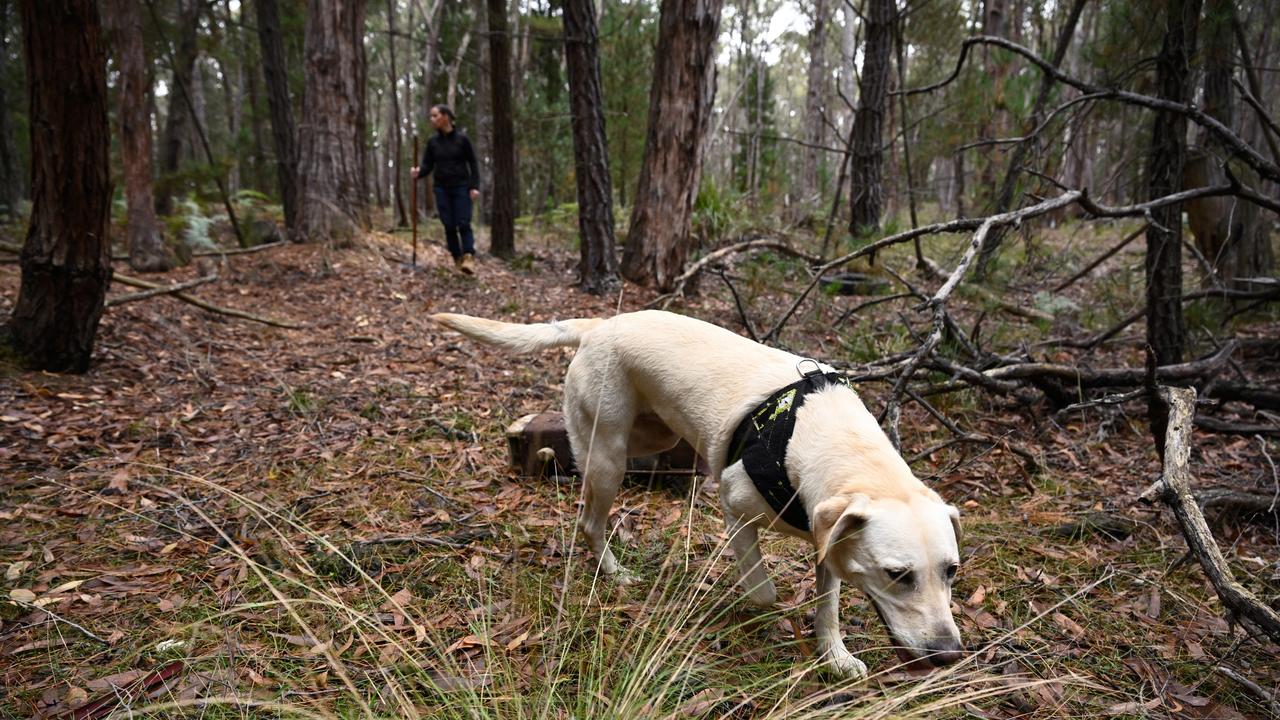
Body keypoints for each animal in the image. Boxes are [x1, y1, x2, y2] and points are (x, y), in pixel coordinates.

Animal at [430, 307, 962, 671]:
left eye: (952, 571)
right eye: (898, 574)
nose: (949, 654)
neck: (831, 440)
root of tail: (601, 323)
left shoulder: (828, 537)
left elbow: (828, 604)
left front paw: (834, 655)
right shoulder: (735, 507)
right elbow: (764, 591)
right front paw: (765, 610)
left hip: (655, 434)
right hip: (608, 458)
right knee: (589, 518)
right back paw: (611, 569)